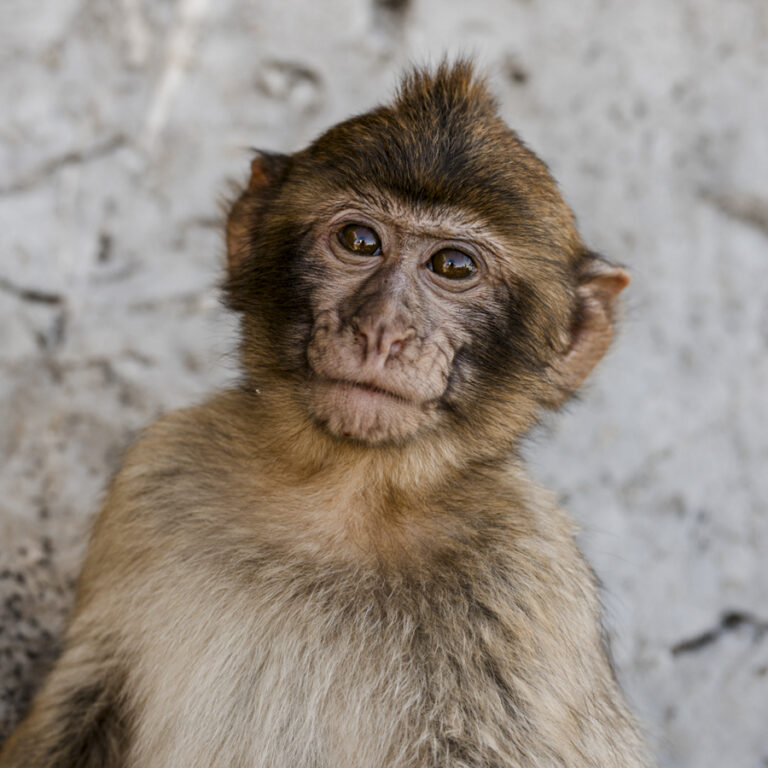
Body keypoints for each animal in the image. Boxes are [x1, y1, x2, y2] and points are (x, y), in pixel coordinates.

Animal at [0, 61, 652, 768]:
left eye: (453, 265)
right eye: (359, 240)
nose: (382, 329)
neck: (343, 493)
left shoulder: (529, 576)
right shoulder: (156, 475)